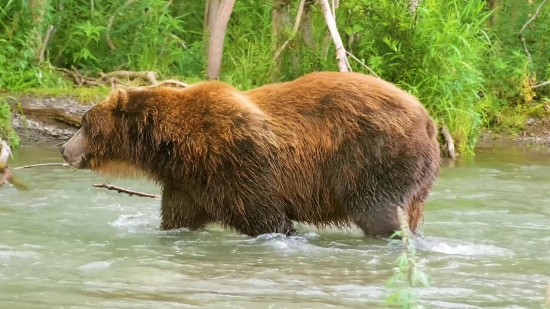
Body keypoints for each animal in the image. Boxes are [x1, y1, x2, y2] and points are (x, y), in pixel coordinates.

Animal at [60, 71, 442, 239]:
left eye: (84, 123)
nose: (64, 149)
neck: (178, 146)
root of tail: (428, 119)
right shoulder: (187, 182)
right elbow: (178, 218)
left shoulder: (239, 162)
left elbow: (265, 218)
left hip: (376, 157)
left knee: (378, 212)